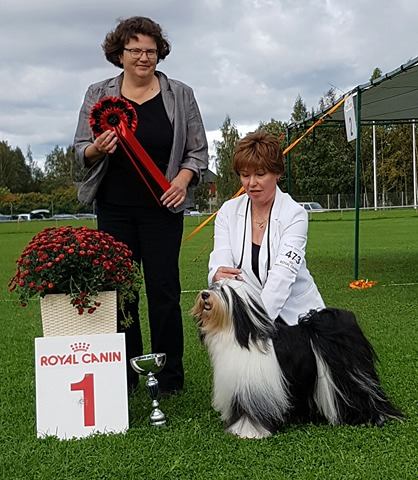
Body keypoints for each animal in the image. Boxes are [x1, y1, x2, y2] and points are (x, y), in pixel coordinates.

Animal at [191, 279, 403, 439]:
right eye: (212, 287)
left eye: (223, 291)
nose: (205, 294)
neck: (239, 335)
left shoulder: (253, 389)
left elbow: (250, 413)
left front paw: (248, 431)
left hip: (348, 379)